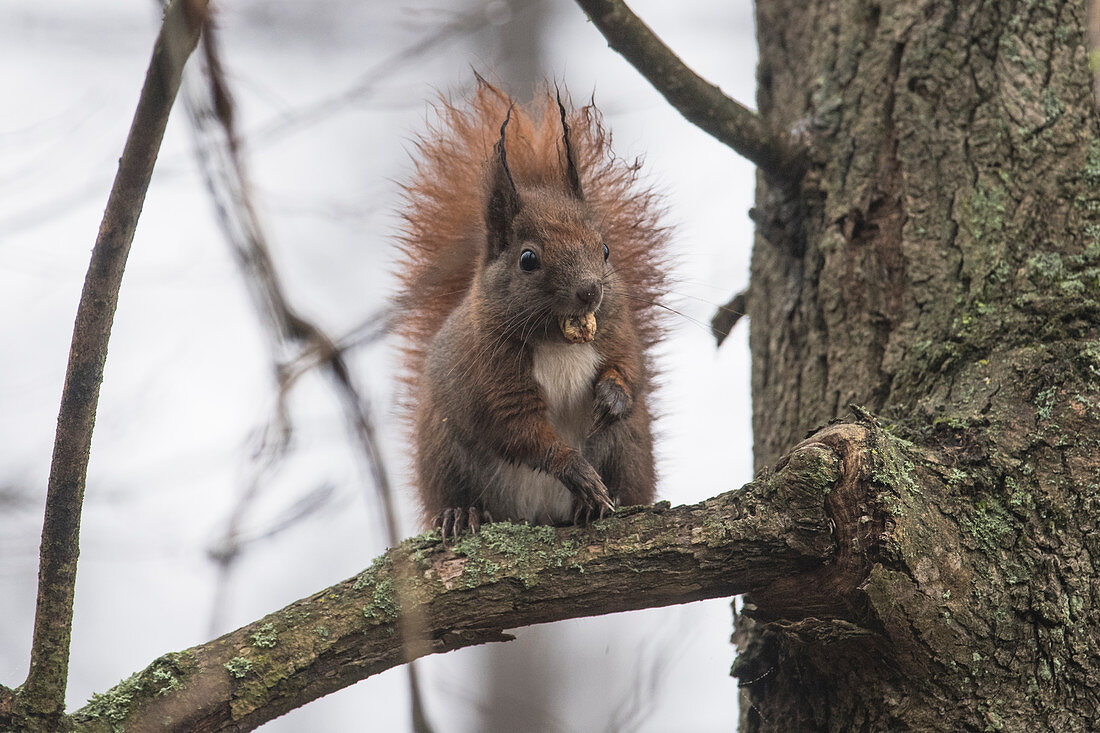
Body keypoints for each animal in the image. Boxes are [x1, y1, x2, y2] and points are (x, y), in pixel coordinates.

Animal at [398, 81, 668, 537]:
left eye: (606, 249)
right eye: (528, 259)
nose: (590, 291)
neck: (558, 340)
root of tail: (539, 514)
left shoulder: (617, 331)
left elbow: (630, 368)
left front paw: (612, 397)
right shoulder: (492, 375)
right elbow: (519, 430)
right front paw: (573, 468)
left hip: (629, 446)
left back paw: (601, 505)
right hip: (445, 454)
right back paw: (461, 513)